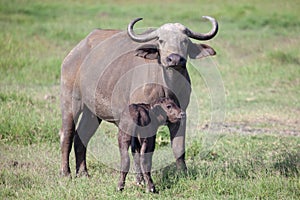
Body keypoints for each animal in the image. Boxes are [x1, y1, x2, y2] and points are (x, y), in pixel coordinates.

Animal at [59, 16, 218, 178]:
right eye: (161, 41)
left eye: (184, 41)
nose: (174, 59)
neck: (167, 84)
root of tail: (75, 52)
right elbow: (139, 150)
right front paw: (140, 178)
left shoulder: (181, 115)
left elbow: (178, 147)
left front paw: (183, 174)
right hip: (71, 101)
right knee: (67, 134)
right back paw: (66, 173)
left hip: (92, 112)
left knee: (81, 137)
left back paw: (83, 172)